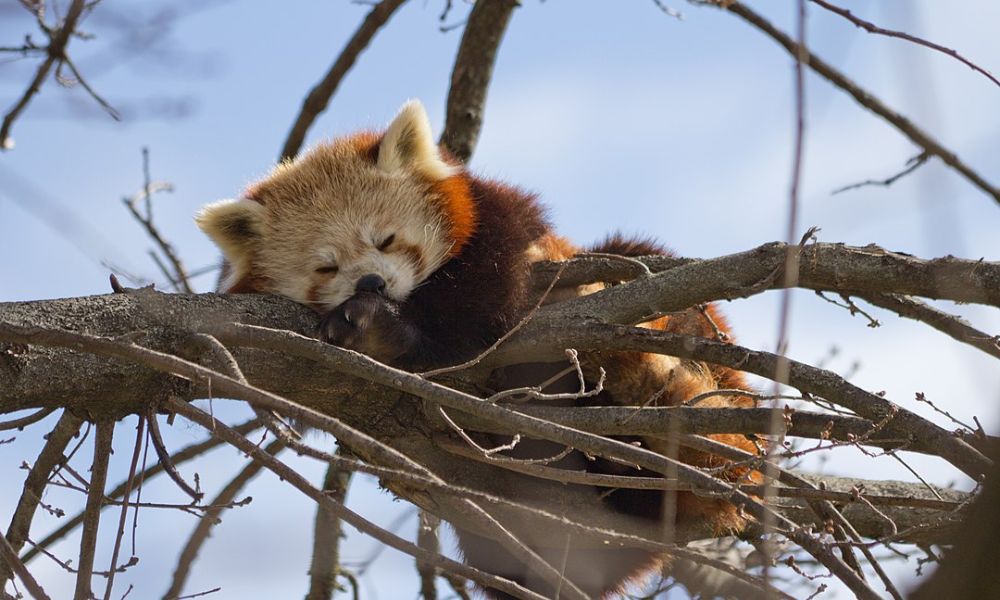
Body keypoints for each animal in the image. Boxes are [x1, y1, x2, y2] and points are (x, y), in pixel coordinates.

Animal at [195, 101, 756, 596]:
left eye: (387, 239)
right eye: (326, 266)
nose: (372, 283)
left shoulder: (504, 225)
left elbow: (479, 303)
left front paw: (391, 333)